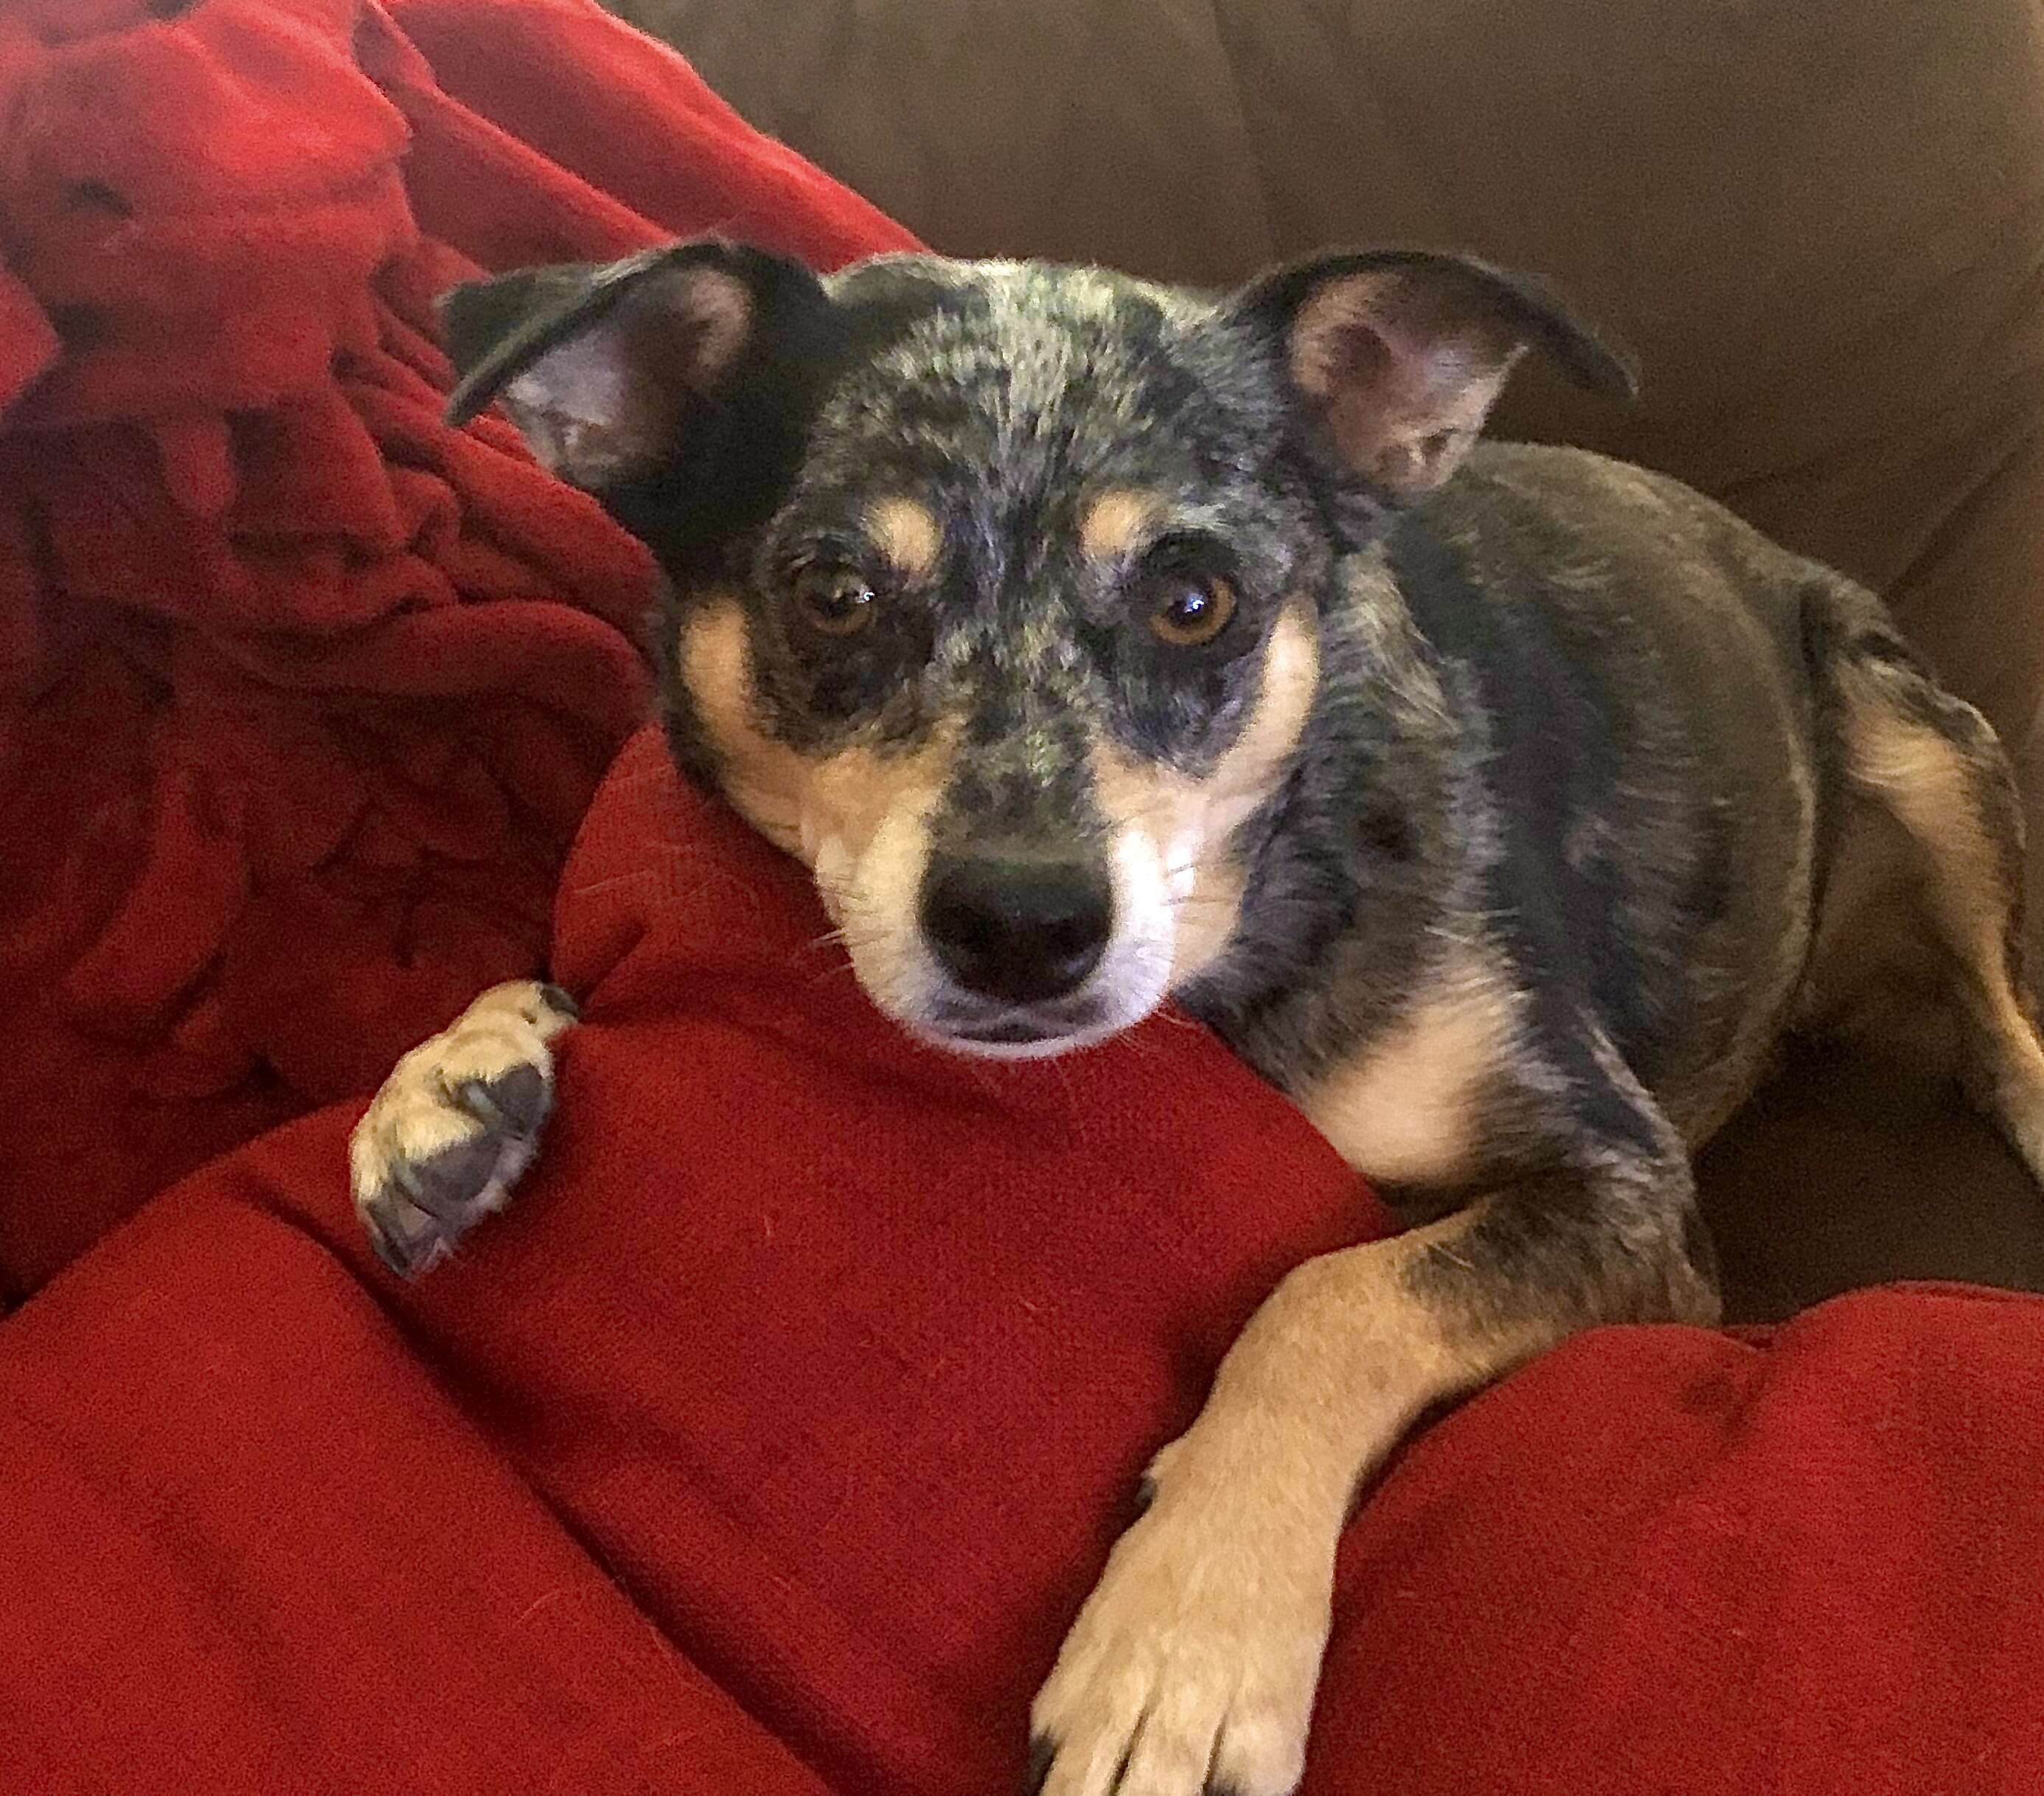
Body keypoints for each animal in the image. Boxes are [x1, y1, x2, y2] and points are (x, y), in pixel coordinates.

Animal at [347, 242, 2044, 1796]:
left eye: (1193, 600)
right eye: (832, 593)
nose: (1024, 924)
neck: (1235, 951)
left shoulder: (1630, 1191)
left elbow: (1331, 1291)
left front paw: (1185, 1648)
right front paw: (458, 1070)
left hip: (1914, 732)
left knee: (1998, 1009)